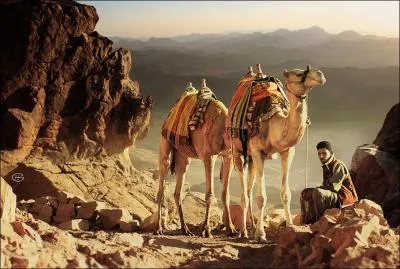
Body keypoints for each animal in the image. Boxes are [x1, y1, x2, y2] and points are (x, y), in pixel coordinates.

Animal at [155, 79, 238, 237]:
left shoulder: (228, 156)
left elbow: (226, 194)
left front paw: (232, 229)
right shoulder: (209, 156)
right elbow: (210, 194)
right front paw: (206, 230)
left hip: (182, 155)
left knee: (178, 190)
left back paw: (185, 229)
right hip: (165, 143)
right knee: (162, 184)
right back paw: (159, 228)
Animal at [231, 64, 328, 241]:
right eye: (298, 74)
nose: (320, 74)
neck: (272, 124)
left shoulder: (287, 152)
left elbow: (286, 194)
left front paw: (290, 227)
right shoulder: (258, 151)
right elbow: (261, 197)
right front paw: (261, 234)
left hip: (251, 159)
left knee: (248, 190)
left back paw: (250, 228)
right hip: (238, 152)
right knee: (244, 195)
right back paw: (243, 231)